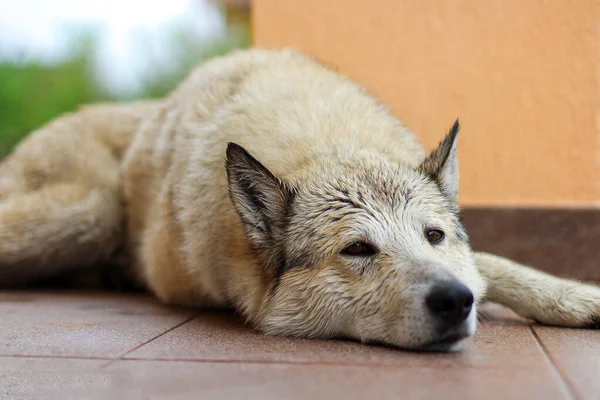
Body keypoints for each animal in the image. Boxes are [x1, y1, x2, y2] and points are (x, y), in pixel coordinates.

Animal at [1, 48, 600, 352]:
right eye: (357, 250)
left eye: (434, 236)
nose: (455, 301)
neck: (327, 144)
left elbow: (492, 264)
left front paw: (572, 296)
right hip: (88, 212)